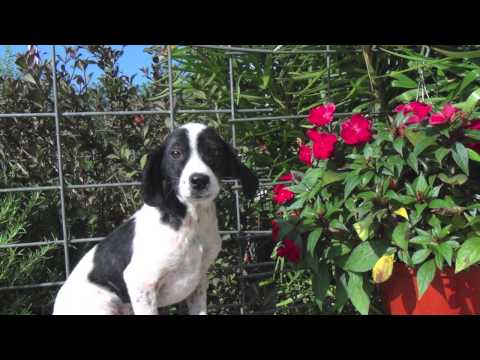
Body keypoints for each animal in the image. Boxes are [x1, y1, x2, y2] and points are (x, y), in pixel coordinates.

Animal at [52, 122, 258, 314]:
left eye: (214, 152)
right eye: (176, 153)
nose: (199, 180)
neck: (191, 219)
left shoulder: (199, 283)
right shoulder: (141, 283)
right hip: (105, 304)